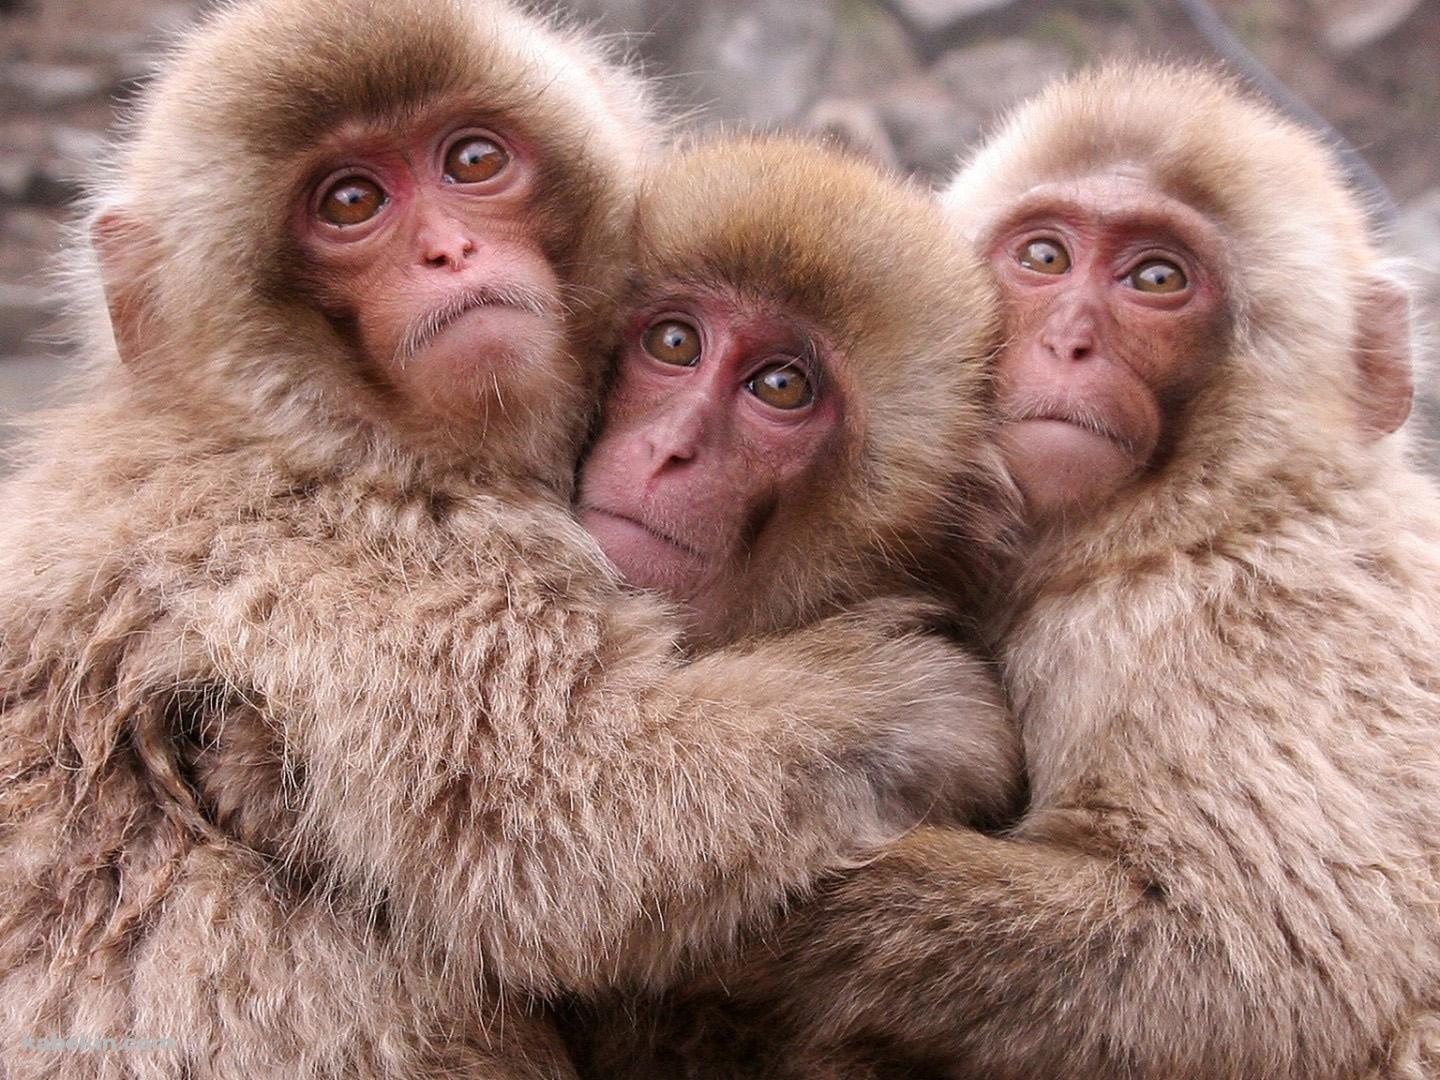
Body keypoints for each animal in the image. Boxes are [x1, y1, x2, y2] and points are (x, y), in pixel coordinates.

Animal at [0, 1, 1022, 1076]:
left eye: (474, 159)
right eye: (351, 201)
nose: (448, 251)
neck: (318, 430)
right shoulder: (351, 550)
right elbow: (557, 819)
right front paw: (929, 702)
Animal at [564, 64, 1440, 1080]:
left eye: (1158, 279)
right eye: (1046, 258)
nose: (1066, 341)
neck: (1191, 517)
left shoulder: (1214, 625)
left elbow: (1251, 969)